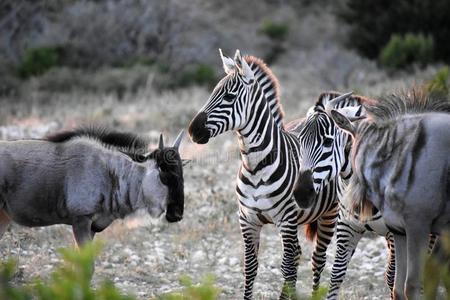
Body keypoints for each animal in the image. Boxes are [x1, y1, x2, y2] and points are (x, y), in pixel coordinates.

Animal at [187, 50, 342, 298]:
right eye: (212, 92)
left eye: (229, 96)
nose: (193, 131)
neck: (255, 166)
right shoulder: (247, 220)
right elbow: (250, 267)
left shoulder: (286, 220)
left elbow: (287, 268)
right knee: (298, 256)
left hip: (329, 213)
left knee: (316, 260)